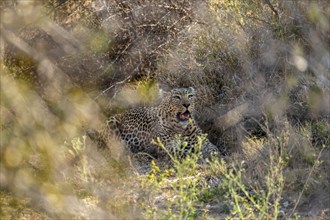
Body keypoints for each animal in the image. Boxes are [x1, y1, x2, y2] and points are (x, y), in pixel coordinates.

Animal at [87, 87, 220, 162]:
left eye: (190, 96)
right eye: (176, 97)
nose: (187, 104)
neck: (181, 128)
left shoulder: (204, 141)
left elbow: (213, 149)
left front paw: (216, 156)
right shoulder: (168, 147)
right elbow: (185, 153)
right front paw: (197, 155)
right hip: (112, 122)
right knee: (116, 147)